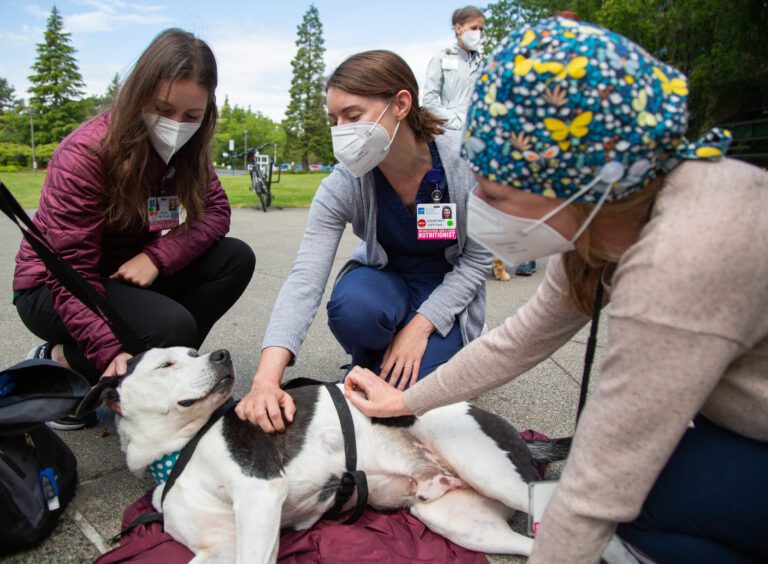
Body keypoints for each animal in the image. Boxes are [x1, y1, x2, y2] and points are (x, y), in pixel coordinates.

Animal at [79, 346, 568, 560]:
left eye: (192, 352)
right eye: (166, 364)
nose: (220, 354)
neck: (184, 449)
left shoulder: (260, 497)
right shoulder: (220, 547)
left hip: (489, 470)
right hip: (456, 520)